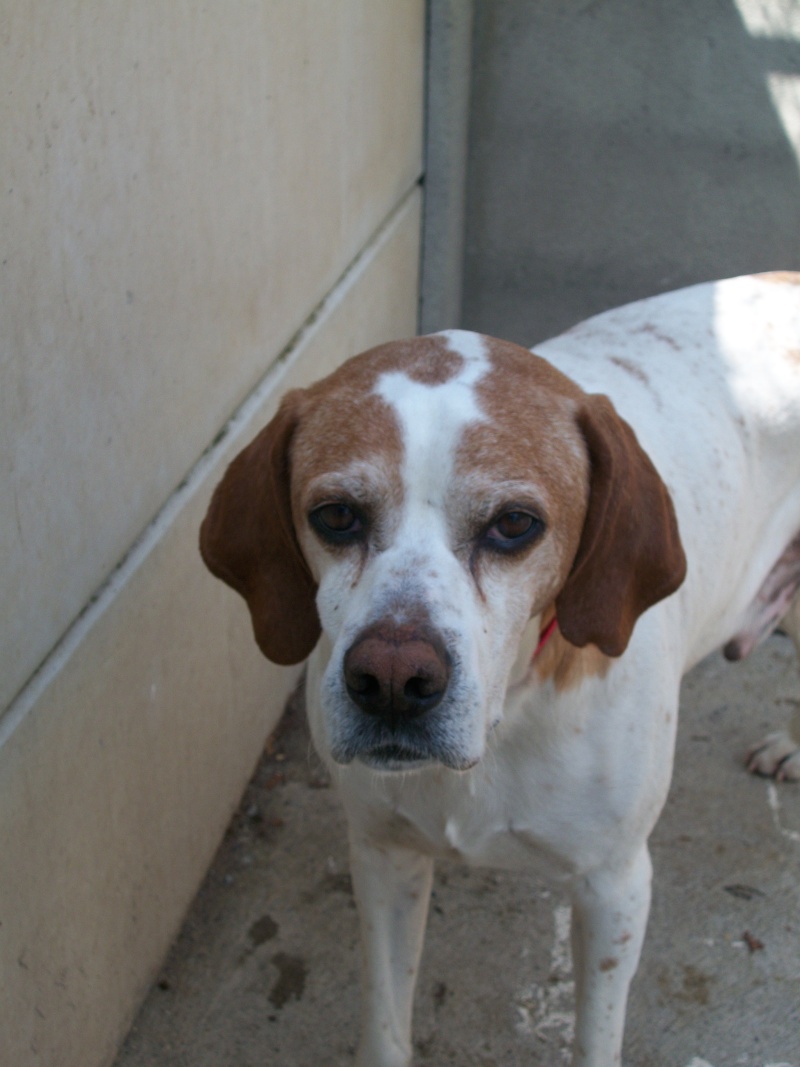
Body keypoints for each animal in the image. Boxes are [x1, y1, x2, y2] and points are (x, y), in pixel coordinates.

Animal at [199, 277, 800, 1067]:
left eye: (514, 524)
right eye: (335, 515)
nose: (393, 682)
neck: (508, 710)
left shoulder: (615, 887)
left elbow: (595, 1039)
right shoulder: (383, 855)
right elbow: (386, 1025)